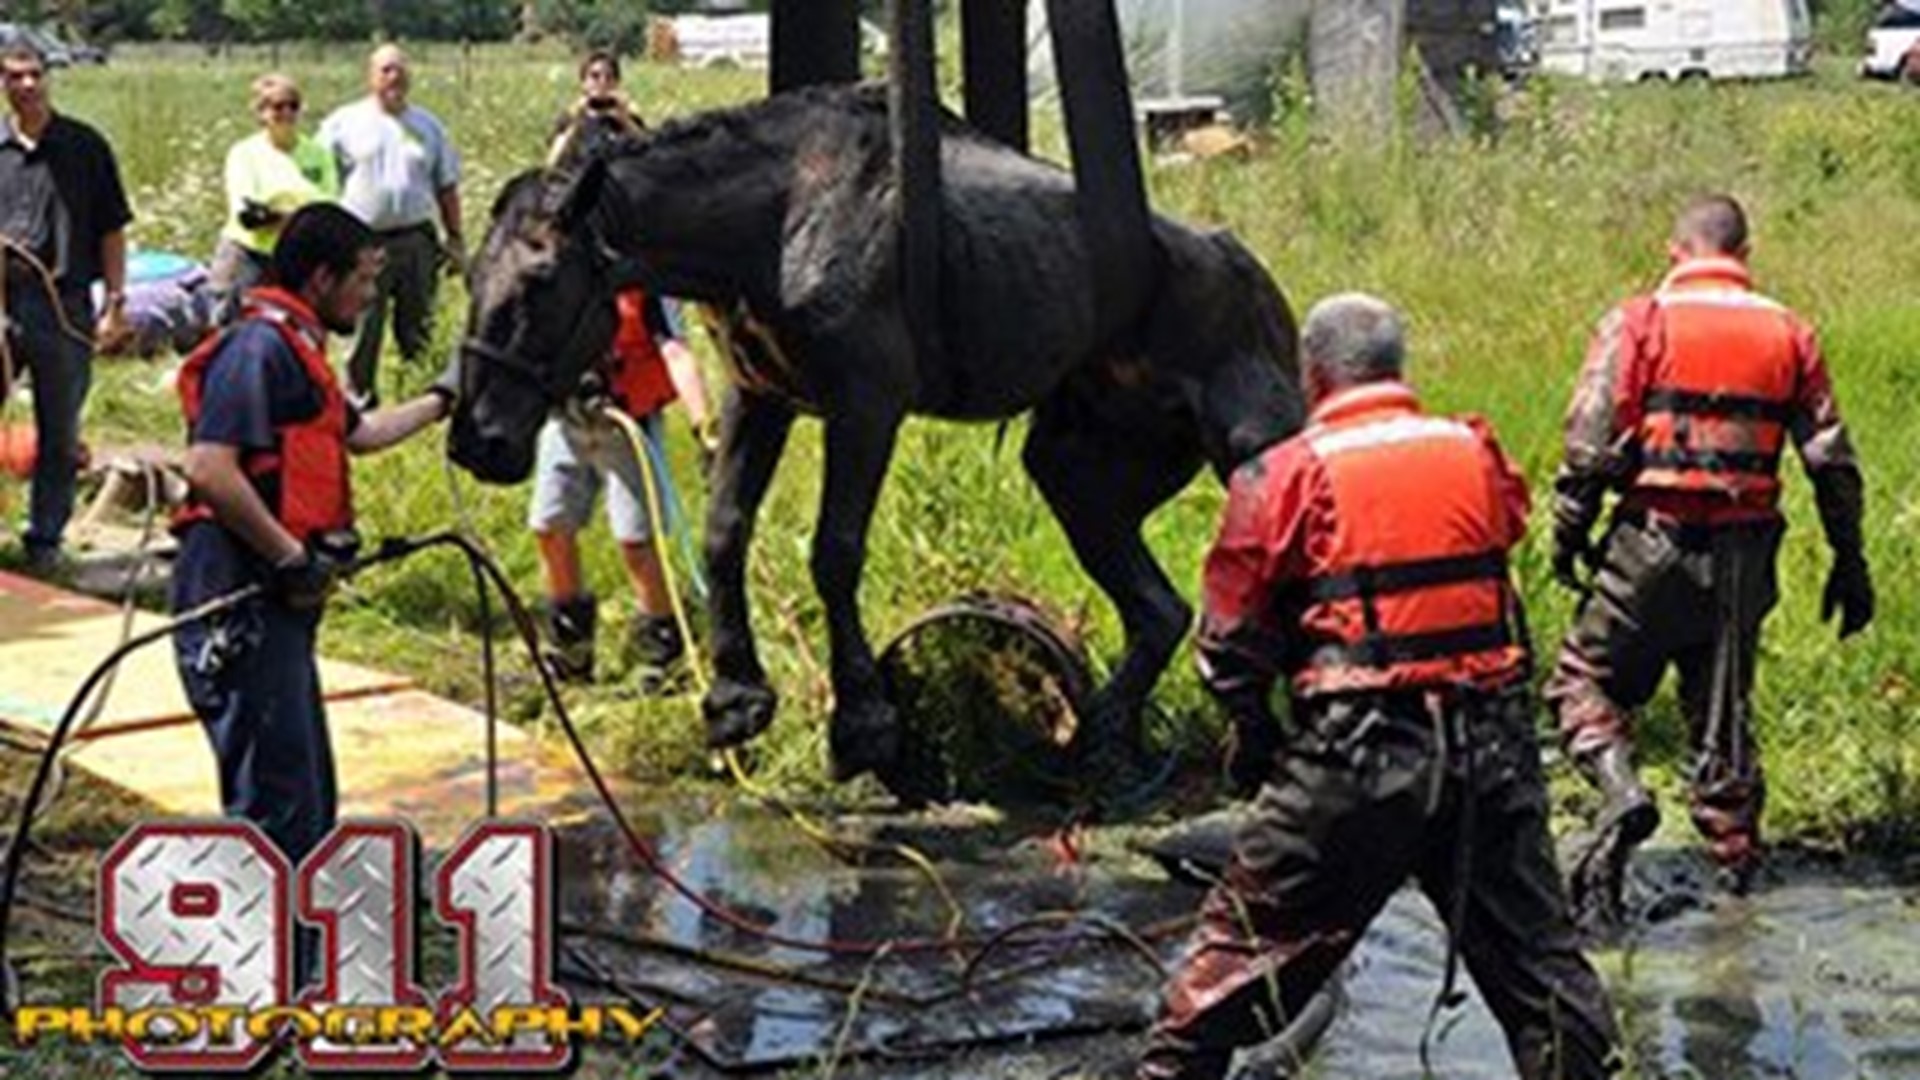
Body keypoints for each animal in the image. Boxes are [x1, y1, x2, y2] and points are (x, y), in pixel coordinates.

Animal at [450, 83, 1304, 786]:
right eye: (469, 276)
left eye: (539, 282)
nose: (474, 442)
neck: (771, 224)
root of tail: (1256, 278)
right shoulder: (758, 398)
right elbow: (726, 532)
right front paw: (737, 696)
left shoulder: (867, 404)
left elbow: (834, 551)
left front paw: (862, 722)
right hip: (1076, 470)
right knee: (1160, 610)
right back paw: (1102, 741)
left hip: (1253, 449)